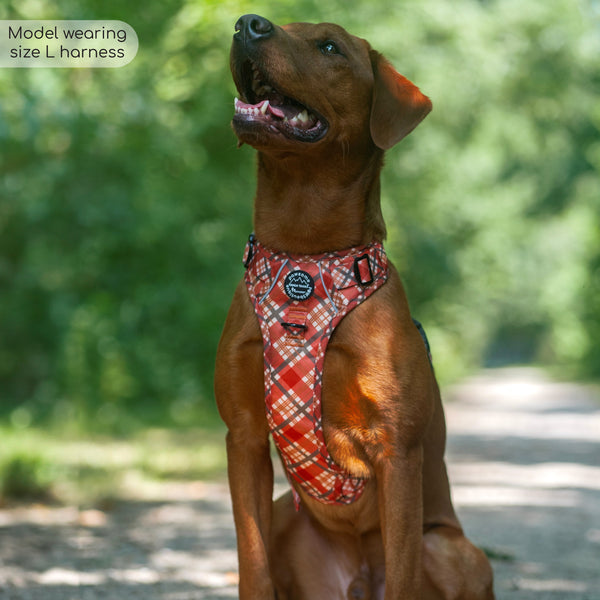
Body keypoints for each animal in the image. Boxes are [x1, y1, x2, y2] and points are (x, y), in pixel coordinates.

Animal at [213, 14, 494, 600]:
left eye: (329, 47)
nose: (248, 23)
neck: (304, 260)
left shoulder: (396, 453)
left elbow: (404, 574)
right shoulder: (243, 437)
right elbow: (252, 564)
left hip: (455, 550)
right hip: (287, 515)